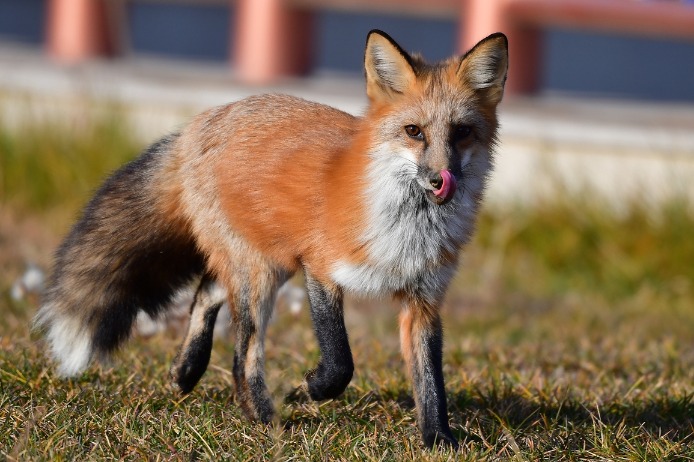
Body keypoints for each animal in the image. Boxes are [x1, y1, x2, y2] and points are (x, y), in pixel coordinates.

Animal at [34, 30, 508, 448]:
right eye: (414, 132)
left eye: (461, 132)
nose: (440, 179)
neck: (406, 233)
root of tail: (203, 121)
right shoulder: (321, 268)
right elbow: (340, 362)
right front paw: (309, 389)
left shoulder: (423, 299)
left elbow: (431, 381)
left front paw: (438, 440)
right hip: (260, 273)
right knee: (244, 351)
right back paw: (260, 414)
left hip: (269, 263)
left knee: (207, 295)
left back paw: (189, 373)